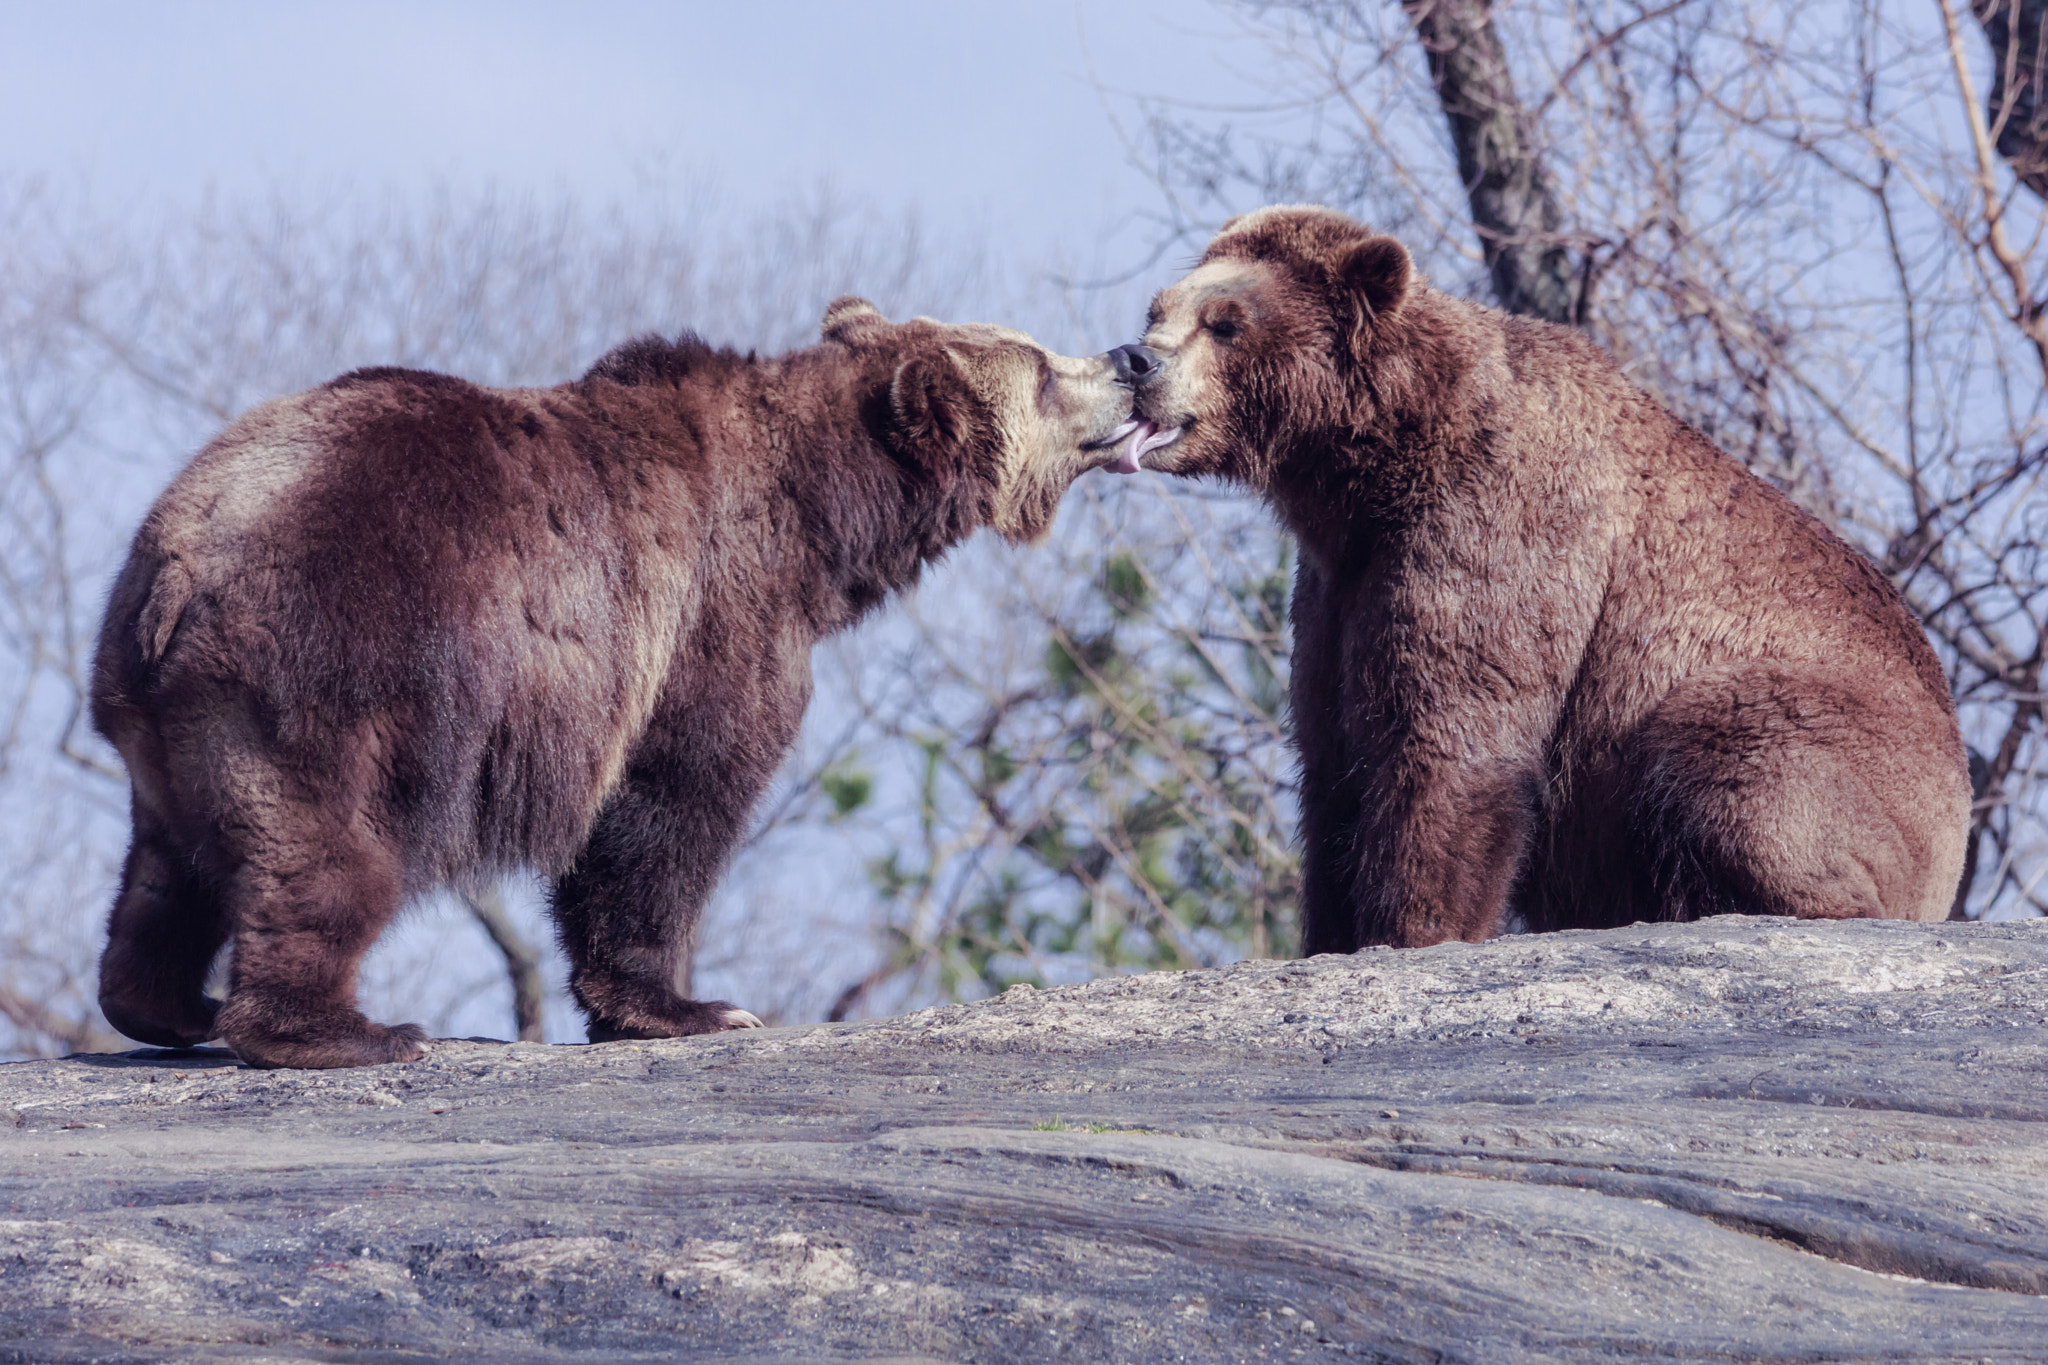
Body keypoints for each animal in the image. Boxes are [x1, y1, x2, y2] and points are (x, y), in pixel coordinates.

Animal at [91, 298, 1138, 1068]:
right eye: (1043, 366)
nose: (1129, 356)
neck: (819, 525)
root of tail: (177, 559)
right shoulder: (700, 623)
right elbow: (671, 804)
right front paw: (692, 1006)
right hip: (338, 663)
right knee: (325, 845)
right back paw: (347, 1029)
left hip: (169, 720)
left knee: (167, 863)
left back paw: (168, 1004)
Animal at [1104, 204, 1970, 952]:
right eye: (1157, 308)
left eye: (1226, 321)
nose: (1132, 358)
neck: (1373, 468)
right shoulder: (1338, 588)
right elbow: (1333, 763)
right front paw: (1330, 934)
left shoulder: (1500, 526)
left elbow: (1454, 739)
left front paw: (1413, 928)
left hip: (1825, 732)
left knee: (1726, 756)